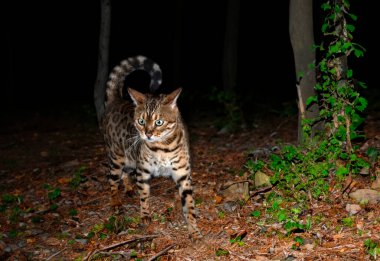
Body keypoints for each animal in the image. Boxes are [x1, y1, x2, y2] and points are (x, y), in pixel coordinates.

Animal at [101, 55, 202, 240]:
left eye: (159, 122)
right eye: (141, 121)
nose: (147, 134)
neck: (163, 148)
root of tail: (115, 100)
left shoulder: (183, 174)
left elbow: (189, 205)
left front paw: (193, 229)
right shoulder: (143, 171)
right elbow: (144, 196)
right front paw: (145, 216)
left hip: (130, 159)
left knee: (125, 173)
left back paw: (128, 188)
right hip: (116, 157)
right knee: (112, 180)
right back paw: (116, 202)